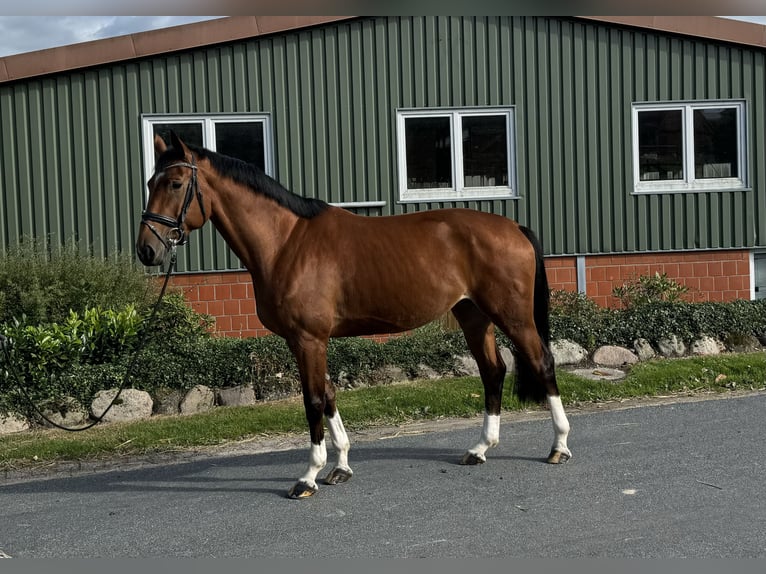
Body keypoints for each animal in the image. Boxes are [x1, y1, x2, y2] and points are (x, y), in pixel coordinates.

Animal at [136, 134, 568, 500]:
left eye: (175, 183)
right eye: (150, 181)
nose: (147, 250)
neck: (287, 242)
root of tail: (513, 225)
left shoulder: (308, 339)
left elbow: (313, 399)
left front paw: (308, 476)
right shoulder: (307, 341)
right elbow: (328, 395)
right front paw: (340, 466)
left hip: (512, 315)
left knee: (542, 362)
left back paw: (559, 446)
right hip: (473, 315)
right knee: (493, 371)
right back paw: (479, 449)